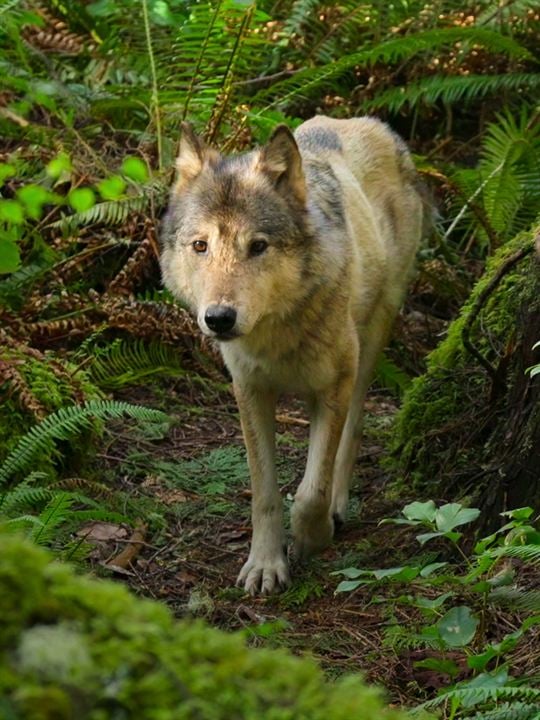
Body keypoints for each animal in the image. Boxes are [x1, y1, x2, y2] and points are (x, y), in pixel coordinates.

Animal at [160, 114, 426, 596]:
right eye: (200, 246)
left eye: (258, 246)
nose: (219, 319)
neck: (276, 334)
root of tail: (369, 122)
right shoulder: (249, 391)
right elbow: (264, 492)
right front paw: (265, 564)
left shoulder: (334, 385)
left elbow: (309, 492)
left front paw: (312, 537)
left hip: (371, 339)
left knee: (352, 431)